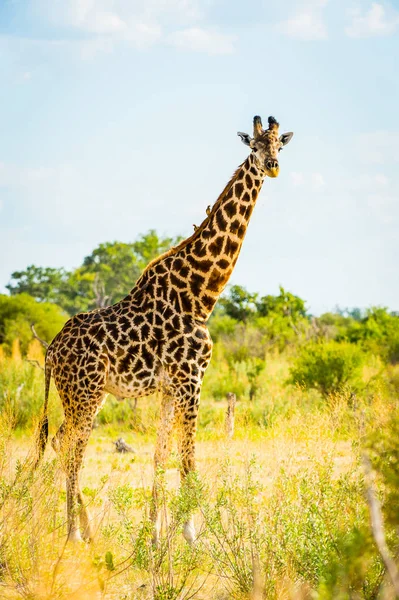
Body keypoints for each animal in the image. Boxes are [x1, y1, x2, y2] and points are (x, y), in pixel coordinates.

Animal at [33, 112, 294, 544]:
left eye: (280, 146)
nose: (272, 167)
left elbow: (161, 454)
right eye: (254, 147)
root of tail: (51, 351)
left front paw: (155, 534)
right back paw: (73, 534)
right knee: (71, 446)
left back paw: (87, 531)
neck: (201, 294)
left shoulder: (170, 387)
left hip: (81, 394)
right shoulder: (191, 379)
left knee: (60, 441)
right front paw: (192, 534)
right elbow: (188, 457)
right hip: (85, 394)